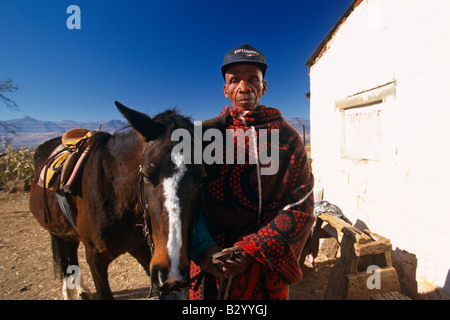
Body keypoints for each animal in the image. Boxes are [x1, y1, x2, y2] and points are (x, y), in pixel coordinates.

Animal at [30, 102, 207, 300]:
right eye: (146, 175)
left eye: (202, 180)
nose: (173, 274)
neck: (117, 197)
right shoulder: (95, 258)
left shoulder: (143, 251)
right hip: (56, 231)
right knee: (64, 258)